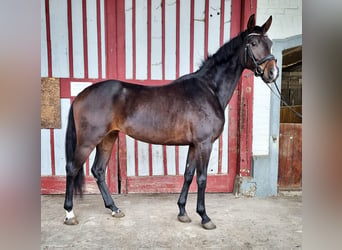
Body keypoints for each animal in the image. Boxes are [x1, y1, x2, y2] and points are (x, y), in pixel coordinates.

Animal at [63, 13, 278, 229]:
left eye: (270, 43)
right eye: (253, 43)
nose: (273, 73)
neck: (209, 89)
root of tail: (81, 94)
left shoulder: (194, 145)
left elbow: (188, 175)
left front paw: (182, 212)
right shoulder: (204, 144)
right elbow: (202, 179)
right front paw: (204, 217)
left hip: (108, 138)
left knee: (98, 170)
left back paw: (114, 209)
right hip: (88, 140)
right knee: (72, 168)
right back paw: (69, 213)